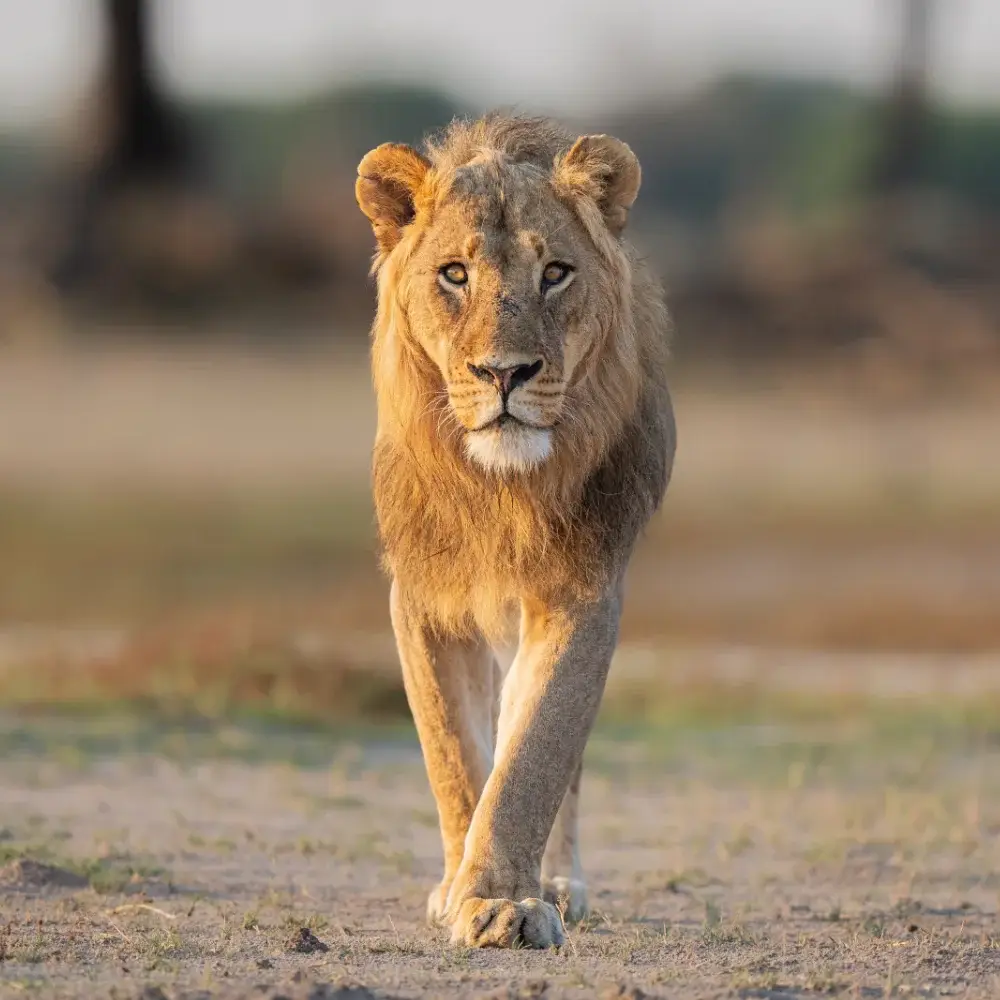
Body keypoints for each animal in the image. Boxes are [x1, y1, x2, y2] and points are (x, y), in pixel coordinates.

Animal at [355, 113, 675, 949]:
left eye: (556, 273)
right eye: (454, 275)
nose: (506, 373)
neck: (500, 490)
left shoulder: (584, 590)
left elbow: (535, 754)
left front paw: (507, 902)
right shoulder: (421, 596)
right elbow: (455, 755)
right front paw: (462, 891)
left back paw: (557, 882)